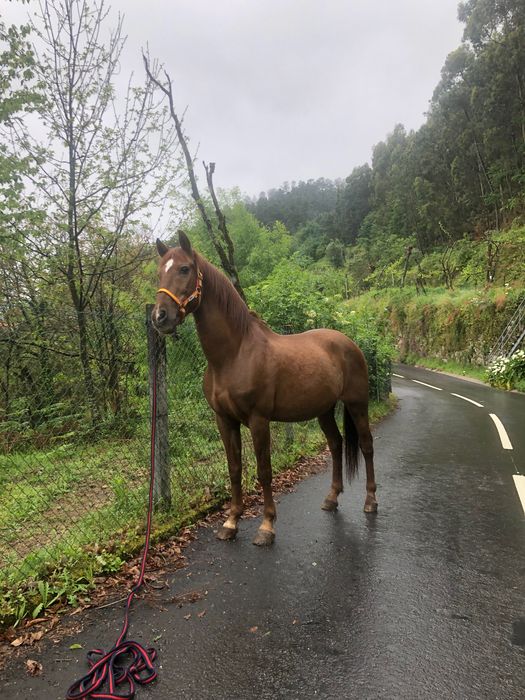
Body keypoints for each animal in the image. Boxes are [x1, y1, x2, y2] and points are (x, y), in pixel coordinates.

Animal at [152, 231, 377, 546]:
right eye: (160, 272)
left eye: (184, 269)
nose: (160, 317)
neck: (234, 354)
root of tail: (349, 343)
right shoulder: (224, 420)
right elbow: (234, 469)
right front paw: (231, 522)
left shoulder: (259, 421)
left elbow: (264, 471)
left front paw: (267, 526)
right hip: (324, 410)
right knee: (336, 444)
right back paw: (331, 498)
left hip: (358, 404)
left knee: (367, 446)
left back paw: (370, 501)